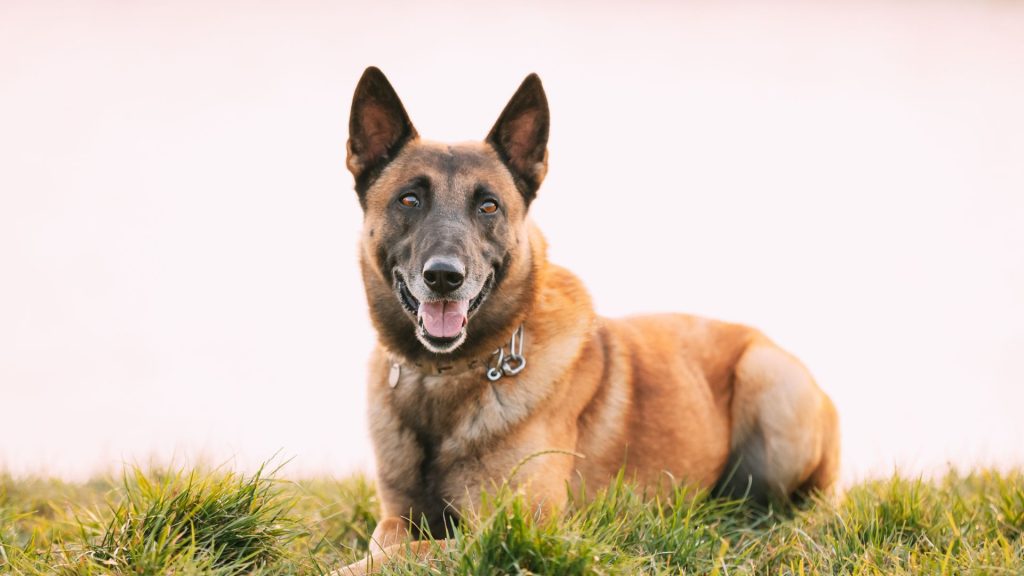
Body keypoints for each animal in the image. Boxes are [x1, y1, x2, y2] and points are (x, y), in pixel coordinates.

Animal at [337, 66, 839, 569]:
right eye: (409, 200)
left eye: (488, 206)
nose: (444, 277)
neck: (447, 376)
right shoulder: (398, 515)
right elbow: (387, 541)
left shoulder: (513, 528)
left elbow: (408, 553)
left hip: (770, 384)